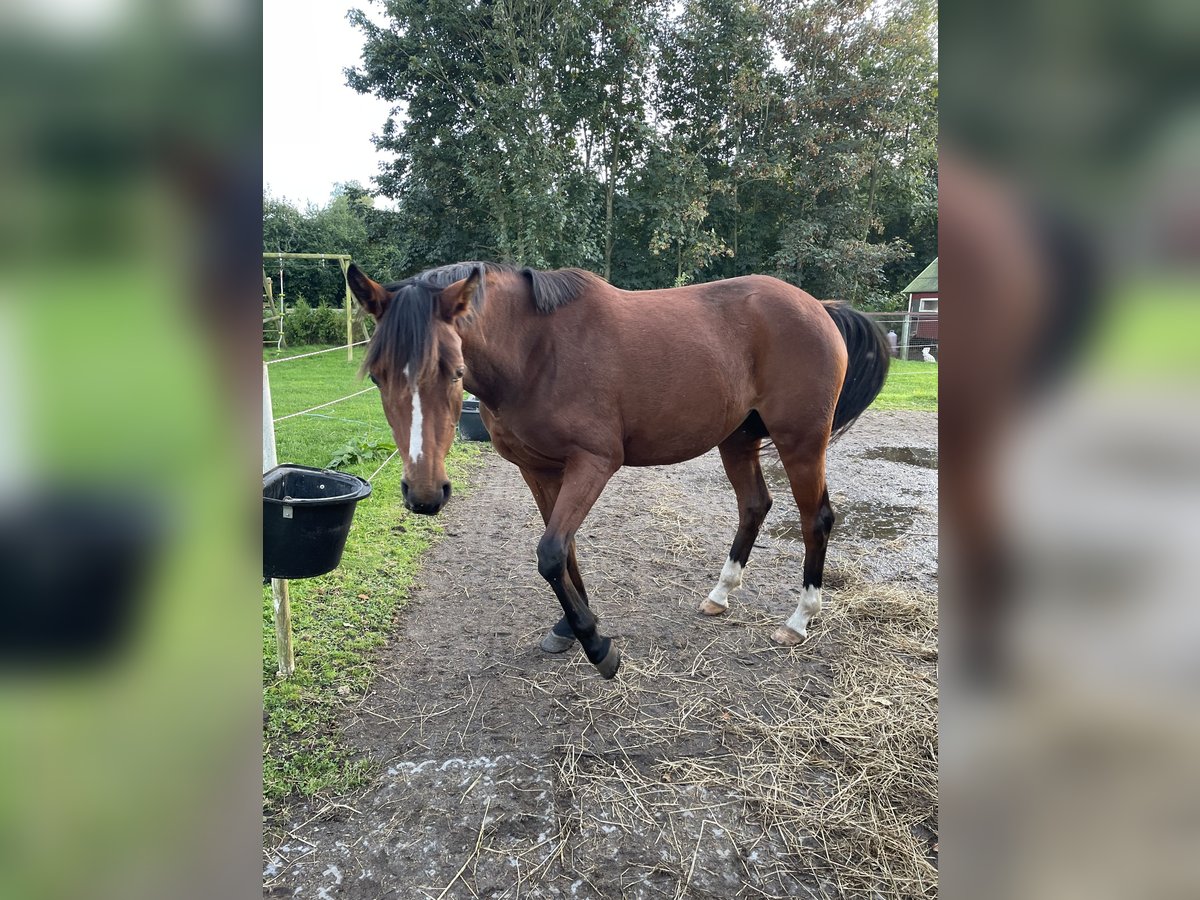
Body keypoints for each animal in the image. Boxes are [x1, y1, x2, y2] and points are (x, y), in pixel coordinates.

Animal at [343, 264, 888, 681]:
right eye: (378, 377)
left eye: (455, 371)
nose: (425, 494)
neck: (537, 351)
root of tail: (819, 306)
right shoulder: (539, 470)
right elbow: (564, 553)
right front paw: (570, 628)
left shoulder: (594, 463)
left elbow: (549, 553)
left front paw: (598, 647)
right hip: (737, 438)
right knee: (755, 505)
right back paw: (720, 595)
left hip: (802, 442)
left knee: (816, 520)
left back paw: (799, 620)